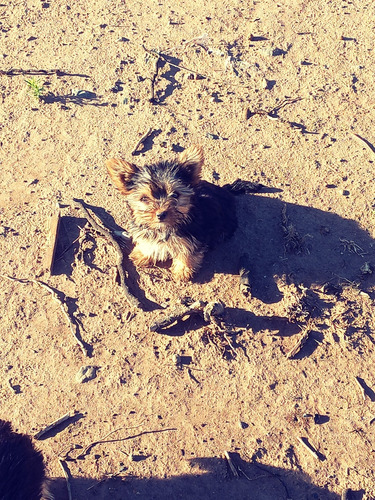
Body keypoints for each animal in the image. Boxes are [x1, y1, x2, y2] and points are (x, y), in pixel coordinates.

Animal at [106, 146, 258, 284]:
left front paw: (183, 271)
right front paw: (144, 254)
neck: (165, 228)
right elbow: (149, 242)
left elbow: (187, 253)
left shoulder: (193, 238)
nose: (161, 214)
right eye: (144, 198)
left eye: (175, 195)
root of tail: (225, 190)